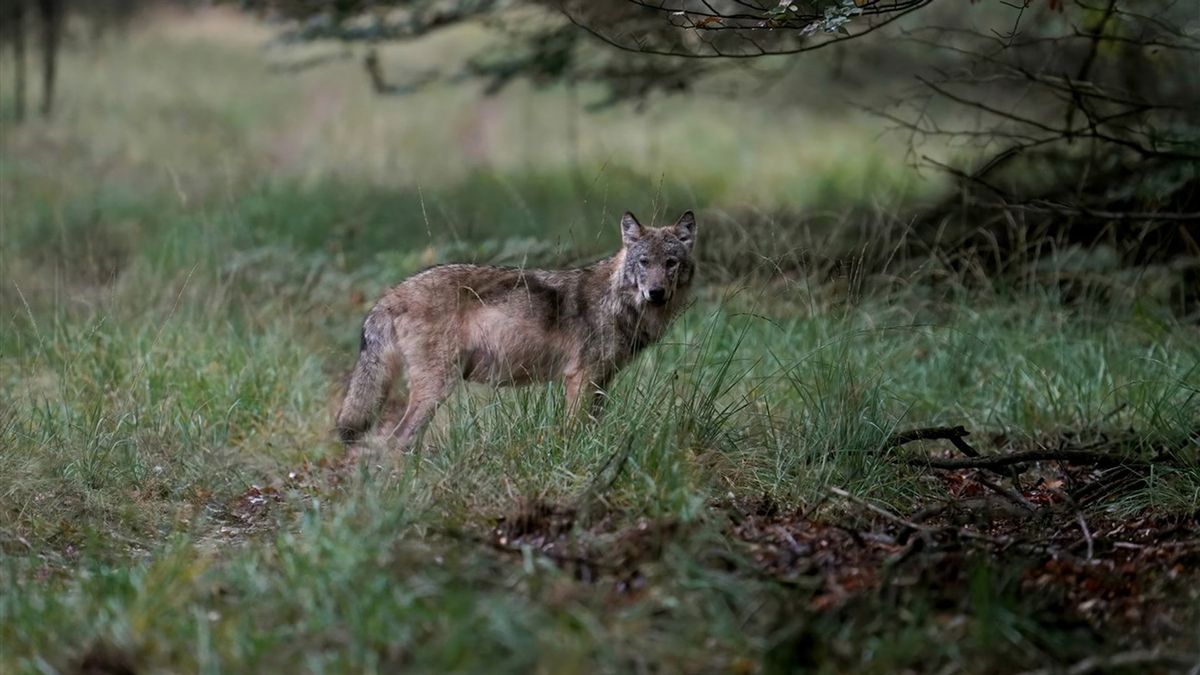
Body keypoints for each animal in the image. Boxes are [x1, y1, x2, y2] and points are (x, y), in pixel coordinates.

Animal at [335, 210, 698, 450]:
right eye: (644, 262)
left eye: (670, 263)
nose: (656, 293)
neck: (617, 301)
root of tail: (392, 293)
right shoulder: (581, 378)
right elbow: (574, 430)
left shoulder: (601, 381)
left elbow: (591, 427)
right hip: (437, 387)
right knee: (398, 441)